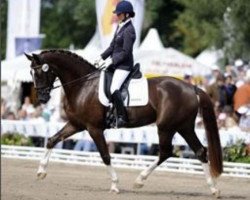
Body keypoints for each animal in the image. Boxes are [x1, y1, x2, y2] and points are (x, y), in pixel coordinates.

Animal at [25, 49, 223, 197]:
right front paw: (41, 172)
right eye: (31, 73)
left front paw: (114, 185)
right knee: (199, 151)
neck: (83, 85)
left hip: (166, 127)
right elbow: (52, 140)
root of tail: (192, 87)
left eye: (41, 71)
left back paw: (139, 180)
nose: (42, 98)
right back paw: (213, 188)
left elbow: (105, 155)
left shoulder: (94, 128)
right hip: (184, 126)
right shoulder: (76, 124)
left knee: (166, 152)